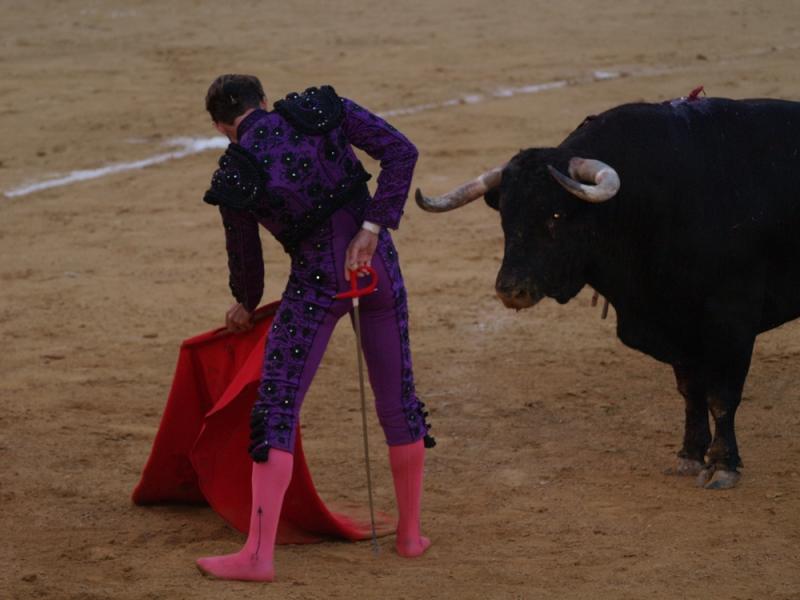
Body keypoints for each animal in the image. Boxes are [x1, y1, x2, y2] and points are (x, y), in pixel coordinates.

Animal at [418, 97, 800, 488]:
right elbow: (691, 392)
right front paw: (690, 456)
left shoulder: (732, 320)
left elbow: (722, 396)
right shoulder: (676, 324)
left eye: (556, 214)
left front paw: (723, 465)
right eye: (505, 217)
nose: (511, 289)